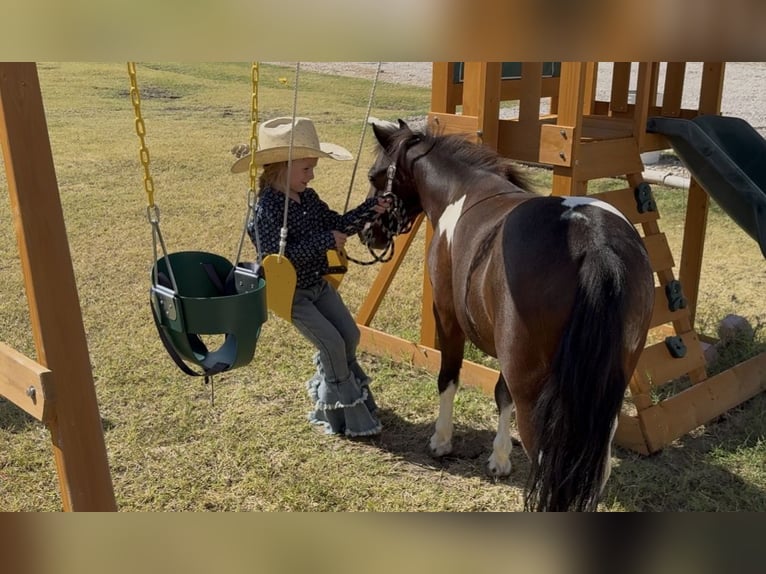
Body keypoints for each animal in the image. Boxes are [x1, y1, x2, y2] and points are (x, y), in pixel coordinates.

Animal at [364, 119, 655, 511]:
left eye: (376, 176)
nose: (370, 234)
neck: (463, 190)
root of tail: (594, 244)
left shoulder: (448, 316)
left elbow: (448, 378)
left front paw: (442, 440)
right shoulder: (507, 353)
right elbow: (502, 396)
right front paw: (499, 458)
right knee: (597, 470)